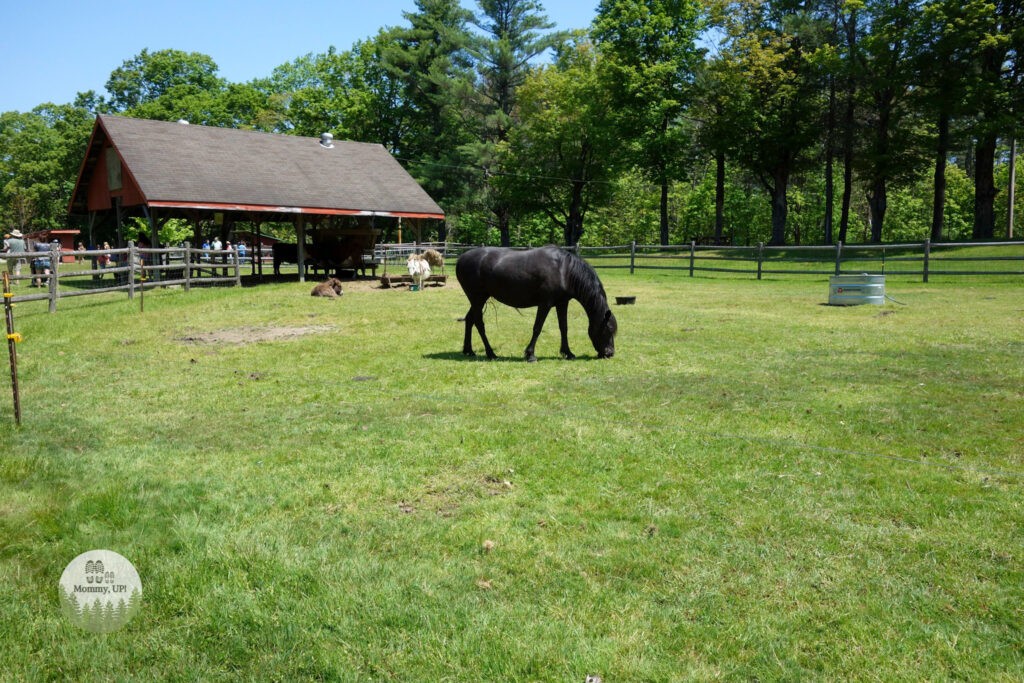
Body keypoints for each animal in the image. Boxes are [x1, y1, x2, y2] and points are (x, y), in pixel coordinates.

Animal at [456, 246, 614, 362]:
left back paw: (469, 350)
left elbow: (564, 328)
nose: (610, 353)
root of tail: (461, 259)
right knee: (479, 323)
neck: (564, 270)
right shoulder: (545, 304)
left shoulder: (562, 303)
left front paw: (568, 353)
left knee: (469, 319)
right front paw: (531, 355)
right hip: (477, 298)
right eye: (608, 330)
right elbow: (537, 328)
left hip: (479, 300)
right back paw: (490, 353)